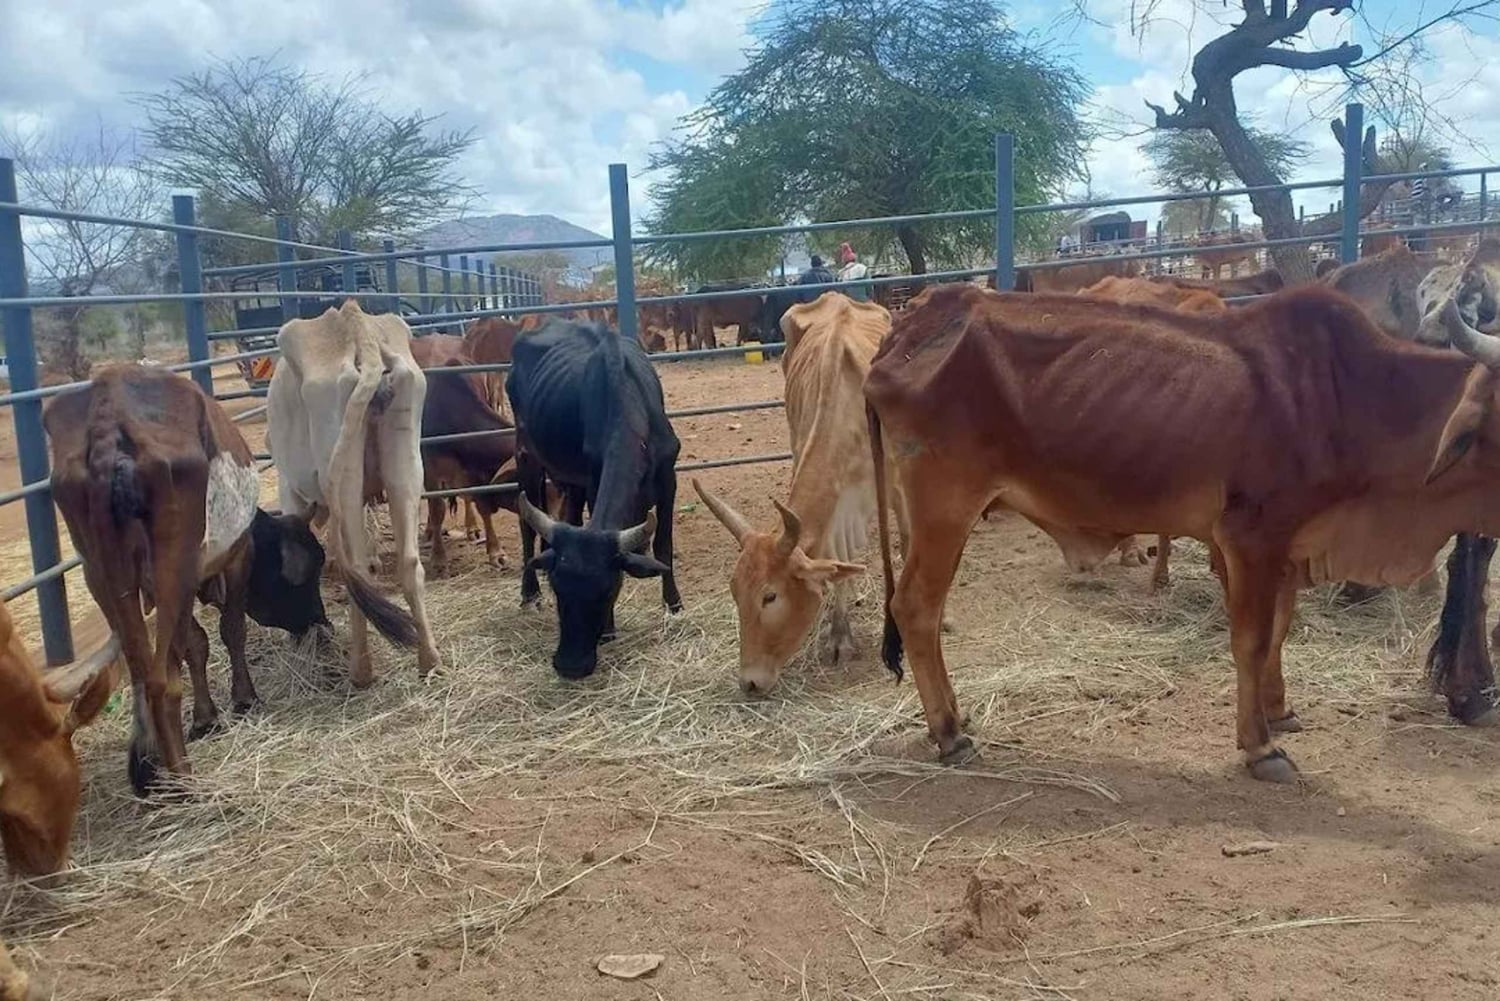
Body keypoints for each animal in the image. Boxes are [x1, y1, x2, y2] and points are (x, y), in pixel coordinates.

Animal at [46, 365, 329, 795]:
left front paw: (205, 717)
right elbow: (231, 631)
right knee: (161, 679)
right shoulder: (237, 558)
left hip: (103, 575)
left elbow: (195, 644)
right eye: (311, 572)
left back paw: (152, 765)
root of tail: (108, 420)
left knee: (143, 671)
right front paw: (243, 699)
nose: (320, 622)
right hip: (171, 570)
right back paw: (180, 775)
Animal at [269, 300, 440, 686]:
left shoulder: (290, 489)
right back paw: (430, 659)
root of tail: (358, 329)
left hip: (343, 470)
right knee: (409, 563)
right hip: (405, 464)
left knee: (358, 571)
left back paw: (360, 670)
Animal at [507, 320, 683, 678]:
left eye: (607, 590)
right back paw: (530, 591)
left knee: (568, 517)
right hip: (526, 456)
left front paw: (673, 603)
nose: (570, 665)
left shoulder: (668, 479)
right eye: (559, 588)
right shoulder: (593, 480)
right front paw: (610, 631)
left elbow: (664, 544)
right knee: (527, 527)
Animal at [865, 282, 1500, 783]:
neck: (1354, 398)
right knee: (916, 607)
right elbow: (1251, 640)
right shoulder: (1250, 537)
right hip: (945, 505)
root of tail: (908, 325)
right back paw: (950, 733)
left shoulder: (1287, 545)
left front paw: (1279, 710)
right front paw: (1260, 746)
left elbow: (1280, 631)